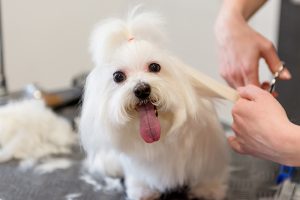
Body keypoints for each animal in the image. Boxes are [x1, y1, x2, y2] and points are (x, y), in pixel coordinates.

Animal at [79, 8, 227, 200]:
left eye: (155, 67)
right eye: (118, 76)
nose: (142, 89)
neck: (162, 135)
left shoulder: (207, 152)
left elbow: (207, 173)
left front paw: (208, 190)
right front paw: (143, 192)